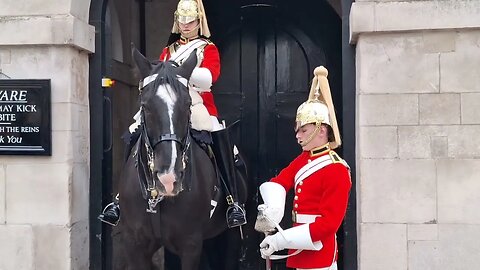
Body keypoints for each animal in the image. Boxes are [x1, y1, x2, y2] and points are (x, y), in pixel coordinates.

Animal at [114, 47, 246, 268]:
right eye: (145, 105)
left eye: (188, 105)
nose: (168, 178)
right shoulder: (134, 243)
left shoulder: (190, 244)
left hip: (231, 235)